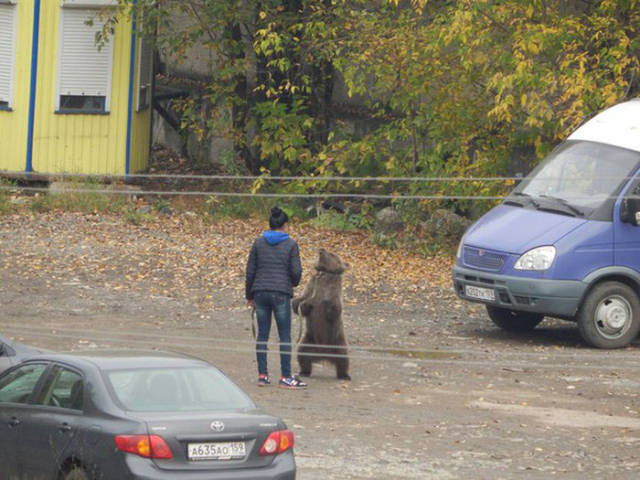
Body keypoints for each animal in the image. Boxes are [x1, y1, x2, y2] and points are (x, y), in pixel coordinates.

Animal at [294, 249, 352, 380]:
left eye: (332, 254)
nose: (321, 250)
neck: (324, 274)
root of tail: (323, 354)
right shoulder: (311, 287)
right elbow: (299, 302)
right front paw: (305, 305)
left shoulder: (334, 292)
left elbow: (335, 308)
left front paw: (327, 303)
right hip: (309, 340)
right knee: (302, 354)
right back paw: (304, 372)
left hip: (337, 341)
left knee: (343, 358)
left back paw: (344, 375)